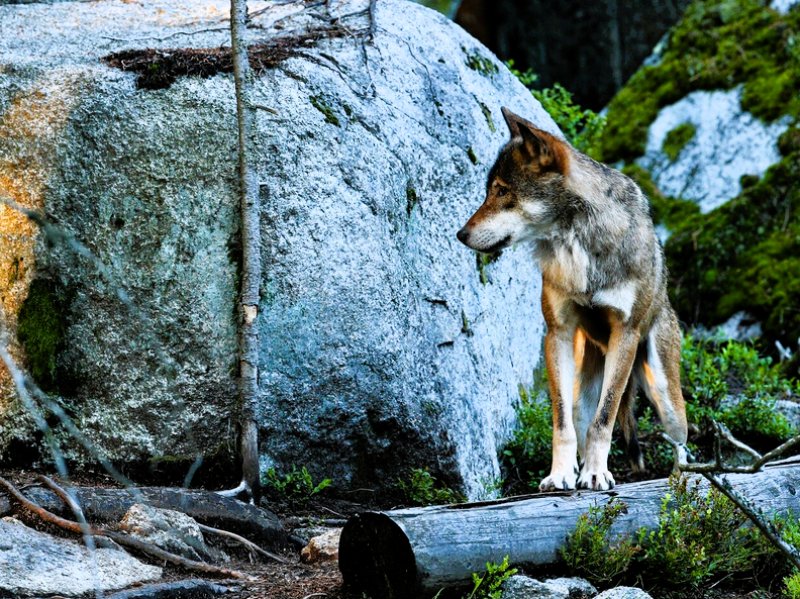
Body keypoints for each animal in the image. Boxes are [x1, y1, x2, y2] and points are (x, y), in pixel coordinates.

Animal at [457, 107, 687, 491]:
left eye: (502, 191)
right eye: (489, 191)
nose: (461, 234)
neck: (577, 243)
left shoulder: (625, 334)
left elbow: (605, 419)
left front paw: (596, 475)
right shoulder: (558, 334)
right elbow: (562, 423)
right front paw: (561, 475)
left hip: (663, 392)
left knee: (680, 438)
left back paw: (685, 477)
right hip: (585, 375)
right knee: (581, 419)